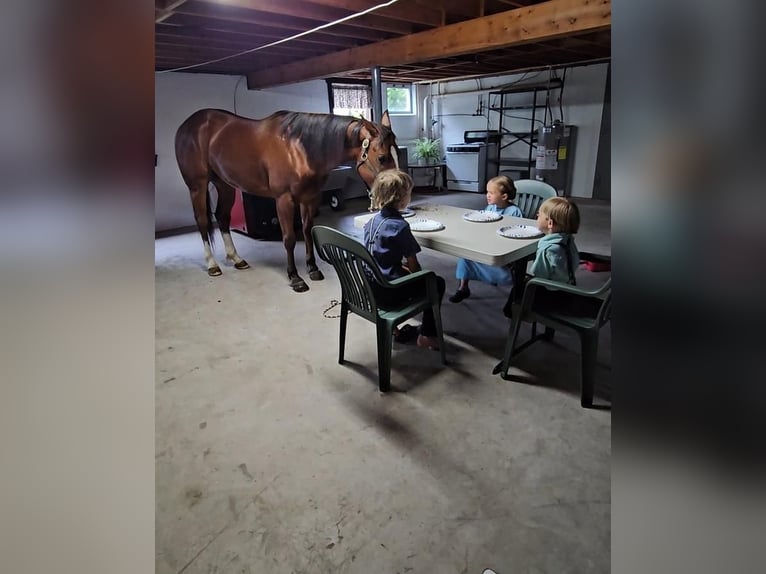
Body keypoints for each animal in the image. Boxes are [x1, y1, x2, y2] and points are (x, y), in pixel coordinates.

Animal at [176, 109, 402, 292]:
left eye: (397, 152)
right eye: (382, 157)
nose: (399, 197)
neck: (299, 148)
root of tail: (187, 125)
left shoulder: (309, 198)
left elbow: (307, 231)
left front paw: (312, 268)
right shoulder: (284, 200)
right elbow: (289, 238)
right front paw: (295, 277)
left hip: (225, 185)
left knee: (222, 218)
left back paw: (237, 259)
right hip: (197, 186)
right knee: (203, 221)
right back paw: (212, 265)